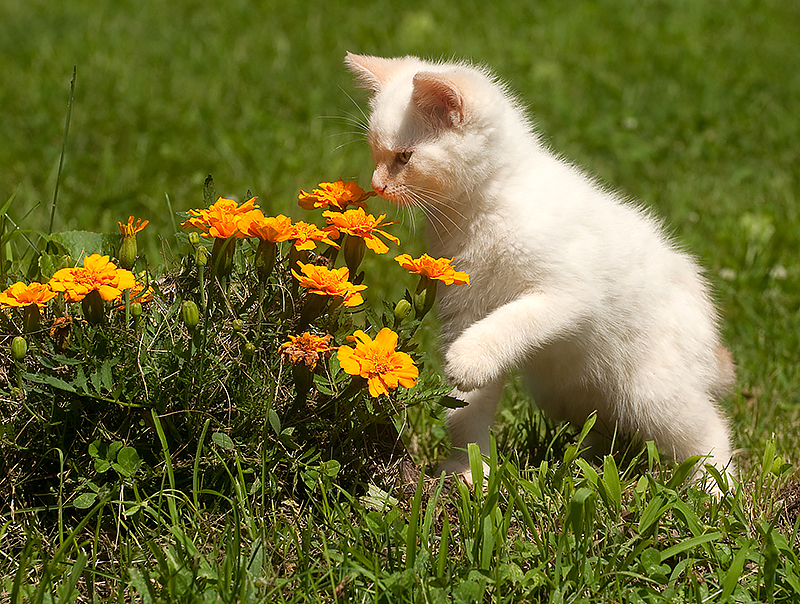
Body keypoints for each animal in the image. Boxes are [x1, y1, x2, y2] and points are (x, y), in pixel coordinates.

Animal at [346, 52, 736, 486]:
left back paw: (715, 488)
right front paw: (469, 469)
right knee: (607, 426)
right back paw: (583, 466)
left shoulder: (568, 295)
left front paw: (468, 361)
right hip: (566, 392)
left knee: (708, 429)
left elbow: (511, 320)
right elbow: (467, 407)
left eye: (404, 157)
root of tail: (710, 340)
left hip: (653, 390)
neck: (483, 207)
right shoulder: (463, 308)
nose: (377, 185)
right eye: (375, 153)